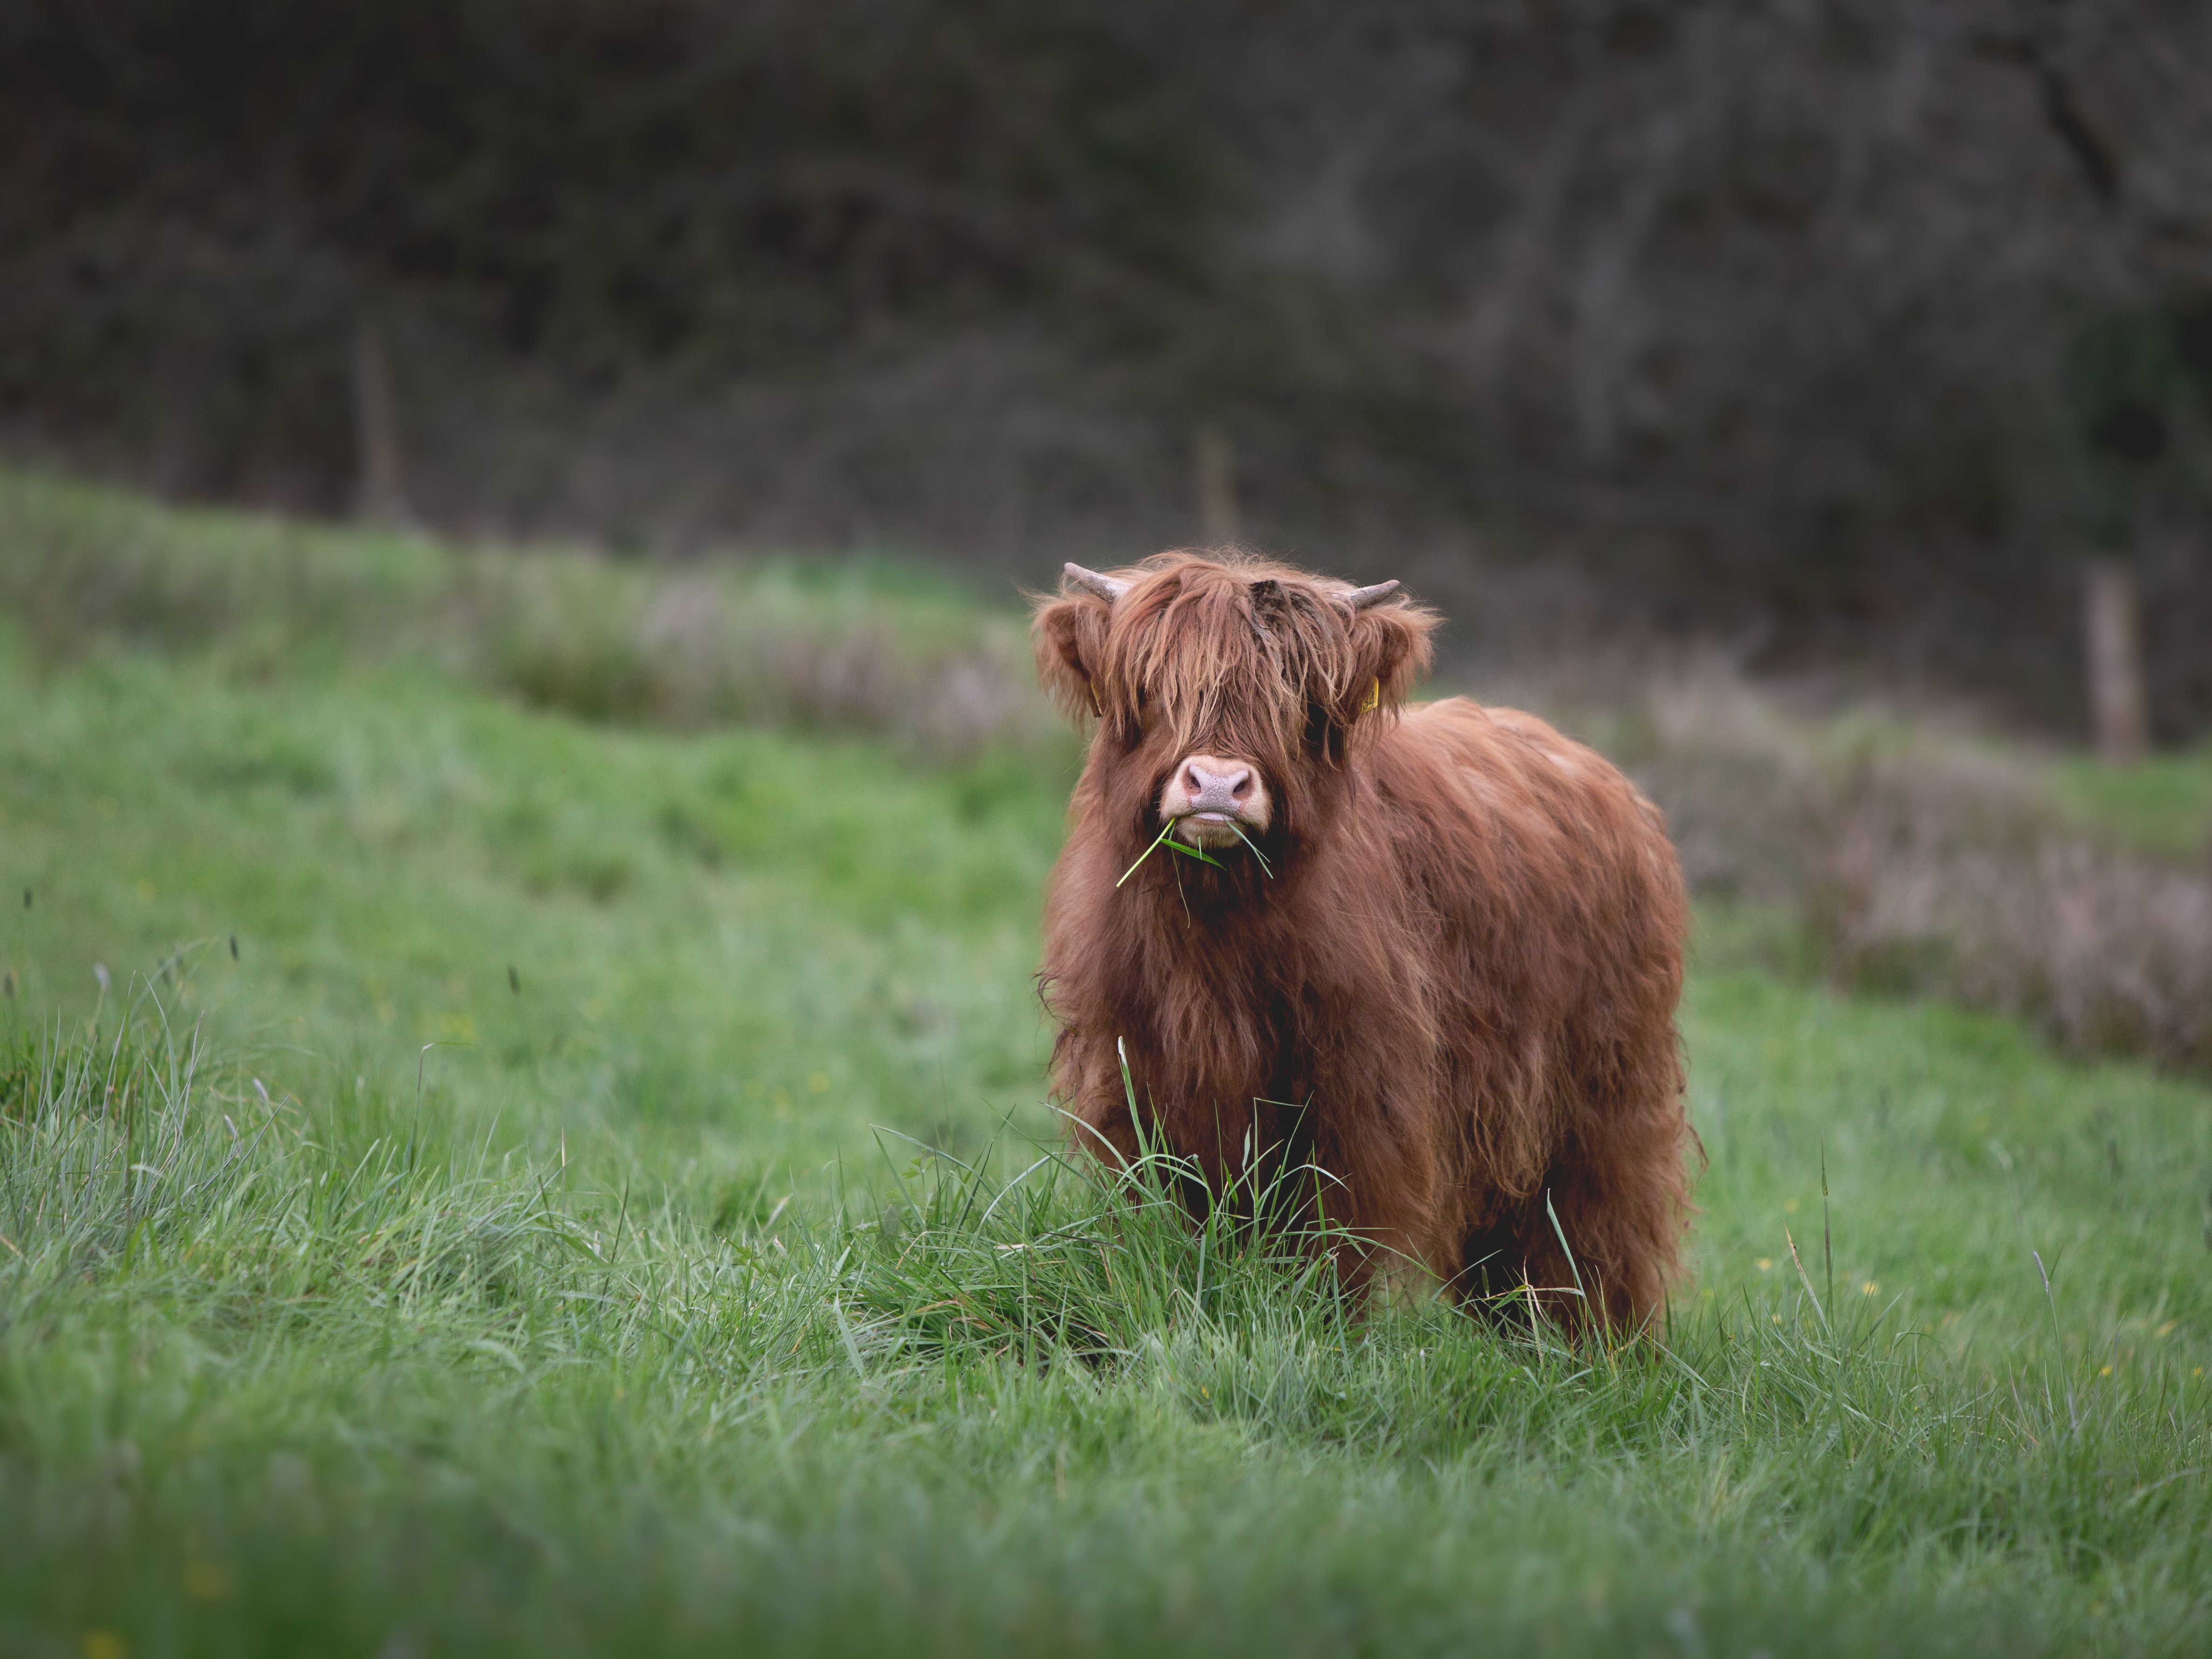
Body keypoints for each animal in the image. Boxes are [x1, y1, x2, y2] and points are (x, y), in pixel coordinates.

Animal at [1032, 550, 1694, 1333]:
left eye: (1292, 702)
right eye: (1154, 690)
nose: (1218, 785)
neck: (1215, 934)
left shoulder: (1359, 1086)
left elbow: (1331, 1228)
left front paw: (1316, 1323)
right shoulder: (1139, 1073)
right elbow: (1178, 1206)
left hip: (1603, 1102)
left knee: (1592, 1235)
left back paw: (1592, 1348)